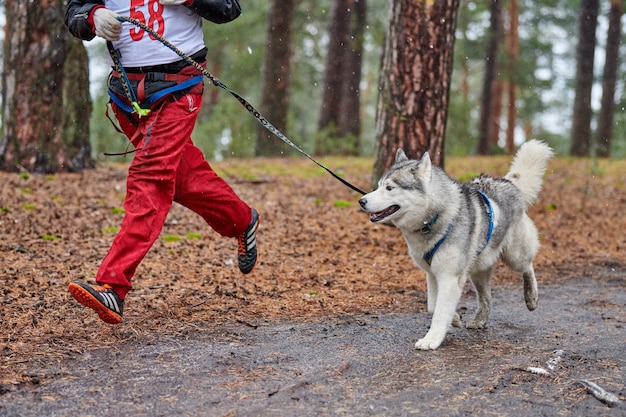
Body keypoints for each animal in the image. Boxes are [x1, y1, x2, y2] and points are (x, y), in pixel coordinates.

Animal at [356, 140, 552, 348]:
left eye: (390, 188)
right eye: (378, 186)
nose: (361, 201)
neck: (433, 218)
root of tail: (507, 182)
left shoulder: (449, 277)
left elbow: (440, 312)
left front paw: (431, 340)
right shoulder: (432, 273)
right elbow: (432, 306)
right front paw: (455, 318)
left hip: (514, 255)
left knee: (528, 267)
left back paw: (531, 297)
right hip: (478, 270)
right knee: (486, 297)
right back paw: (480, 320)